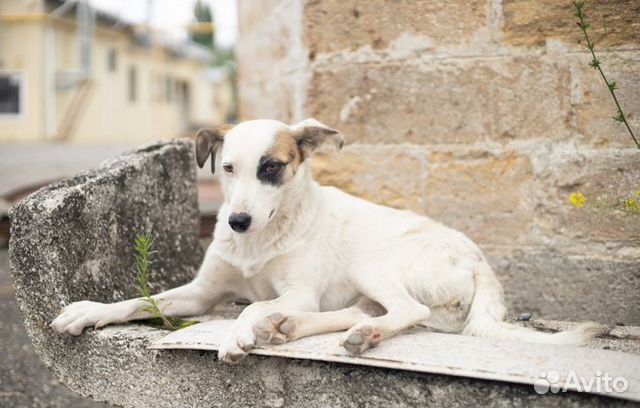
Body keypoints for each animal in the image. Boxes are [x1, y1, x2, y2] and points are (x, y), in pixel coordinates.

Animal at [52, 118, 604, 364]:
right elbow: (139, 300)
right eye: (227, 168)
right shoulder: (202, 292)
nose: (237, 221)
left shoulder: (300, 290)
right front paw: (88, 311)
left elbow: (256, 305)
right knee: (362, 312)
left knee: (407, 311)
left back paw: (339, 333)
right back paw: (296, 329)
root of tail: (479, 262)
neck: (261, 242)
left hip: (374, 265)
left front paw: (239, 333)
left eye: (272, 168)